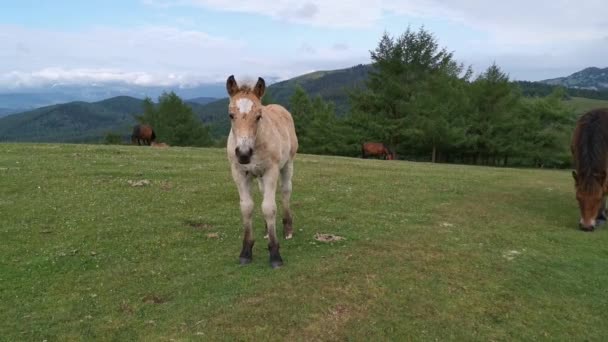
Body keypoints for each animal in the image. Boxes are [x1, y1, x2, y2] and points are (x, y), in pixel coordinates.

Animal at [226, 76, 300, 268]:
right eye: (231, 115)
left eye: (258, 116)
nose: (244, 154)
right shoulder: (239, 172)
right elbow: (247, 207)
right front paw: (246, 252)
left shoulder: (270, 171)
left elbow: (269, 208)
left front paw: (275, 254)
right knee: (264, 193)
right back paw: (267, 229)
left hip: (288, 163)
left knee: (285, 191)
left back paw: (288, 229)